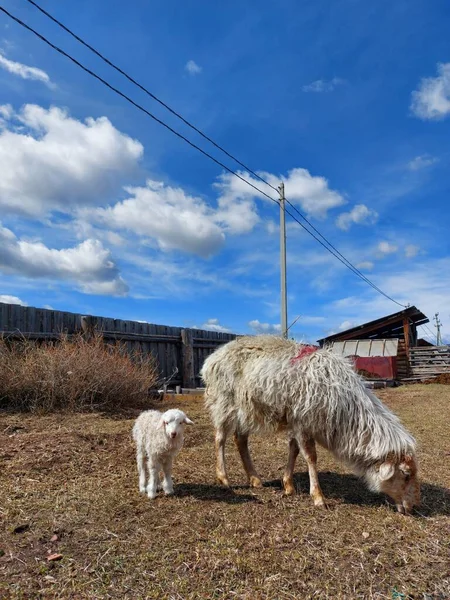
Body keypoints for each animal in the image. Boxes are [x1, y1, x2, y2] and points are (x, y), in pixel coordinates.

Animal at [202, 336, 420, 512]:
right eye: (406, 475)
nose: (412, 507)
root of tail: (212, 358)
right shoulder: (303, 421)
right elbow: (310, 456)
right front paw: (318, 497)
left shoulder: (298, 421)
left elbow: (294, 450)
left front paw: (288, 485)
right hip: (224, 401)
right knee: (220, 438)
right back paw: (224, 478)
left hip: (246, 408)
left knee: (240, 439)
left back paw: (255, 479)